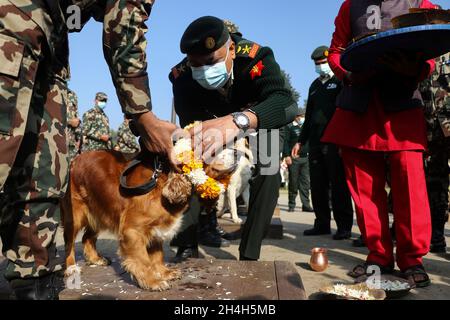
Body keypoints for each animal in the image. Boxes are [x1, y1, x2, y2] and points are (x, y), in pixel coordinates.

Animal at [61, 150, 192, 290]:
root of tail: (75, 160)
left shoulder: (155, 231)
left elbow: (157, 255)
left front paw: (164, 272)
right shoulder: (133, 230)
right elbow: (143, 259)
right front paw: (152, 281)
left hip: (99, 211)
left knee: (87, 237)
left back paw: (96, 259)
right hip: (75, 215)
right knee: (69, 242)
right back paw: (71, 267)